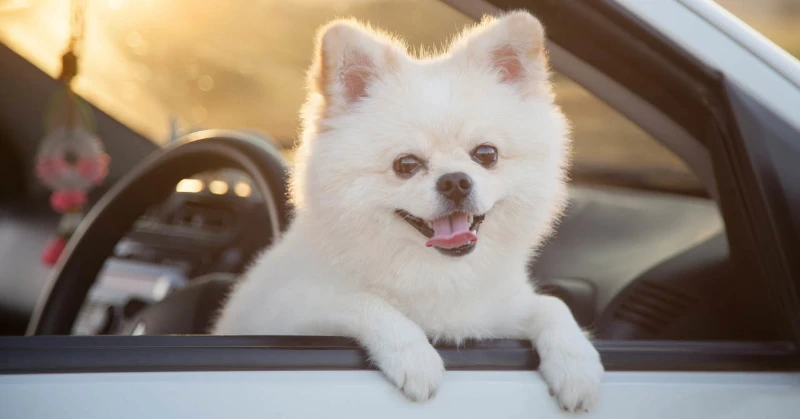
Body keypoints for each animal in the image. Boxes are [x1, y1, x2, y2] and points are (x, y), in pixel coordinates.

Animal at [216, 9, 604, 414]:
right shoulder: (286, 315)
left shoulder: (493, 311)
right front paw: (415, 357)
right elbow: (363, 302)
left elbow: (551, 305)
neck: (434, 273)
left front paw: (577, 364)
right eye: (406, 164)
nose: (455, 181)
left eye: (486, 154)